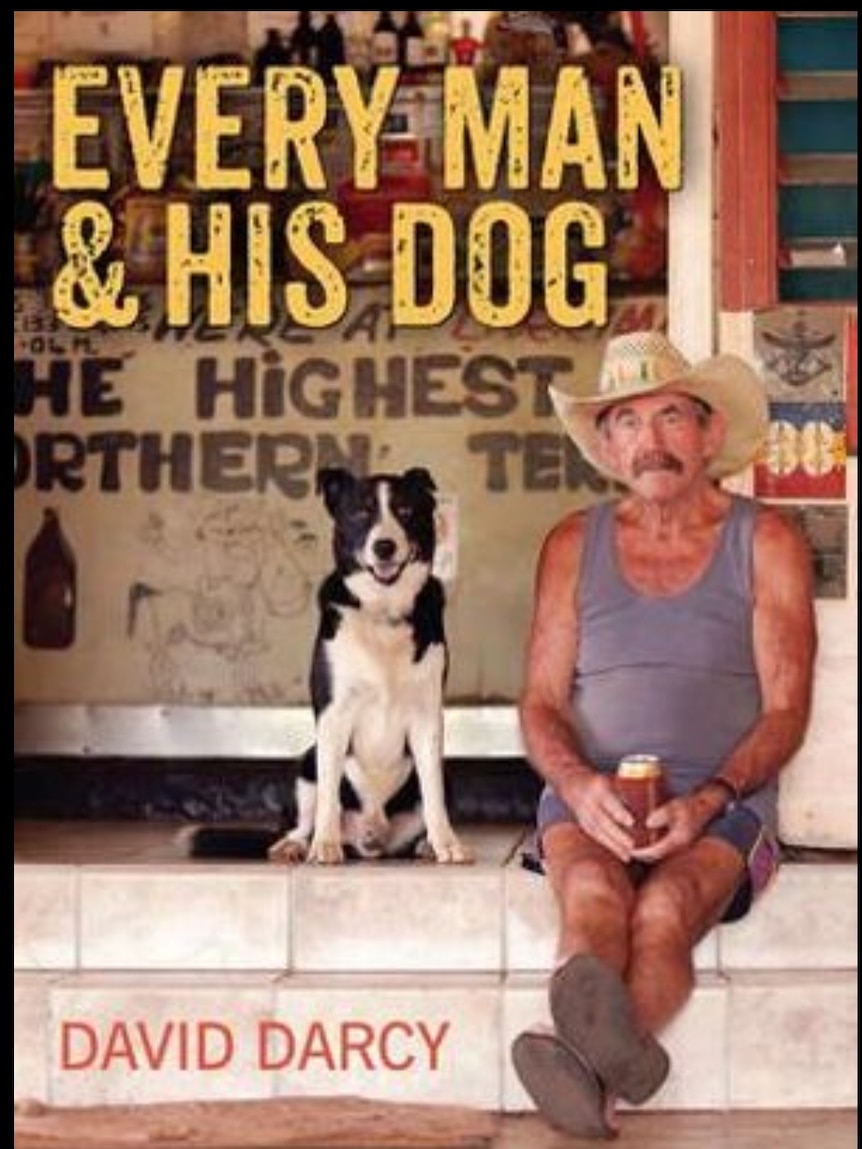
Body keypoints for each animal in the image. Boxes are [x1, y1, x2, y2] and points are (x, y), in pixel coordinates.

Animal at [270, 464, 473, 864]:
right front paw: (325, 845)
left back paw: (426, 845)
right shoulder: (333, 714)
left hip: (444, 774)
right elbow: (329, 793)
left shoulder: (427, 715)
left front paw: (446, 843)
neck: (383, 610)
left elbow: (433, 795)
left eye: (405, 511)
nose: (384, 546)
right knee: (307, 815)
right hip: (306, 763)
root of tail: (371, 837)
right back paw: (297, 845)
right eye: (361, 513)